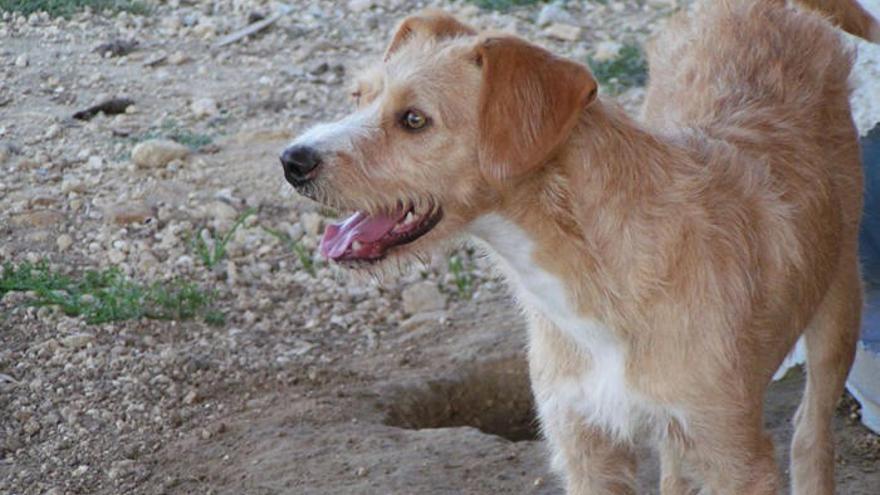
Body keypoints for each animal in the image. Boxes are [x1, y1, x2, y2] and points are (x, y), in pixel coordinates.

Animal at [282, 1, 880, 494]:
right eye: (358, 97)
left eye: (414, 120)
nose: (292, 160)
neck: (592, 276)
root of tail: (764, 6)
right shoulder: (585, 445)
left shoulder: (736, 455)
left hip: (838, 307)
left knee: (810, 433)